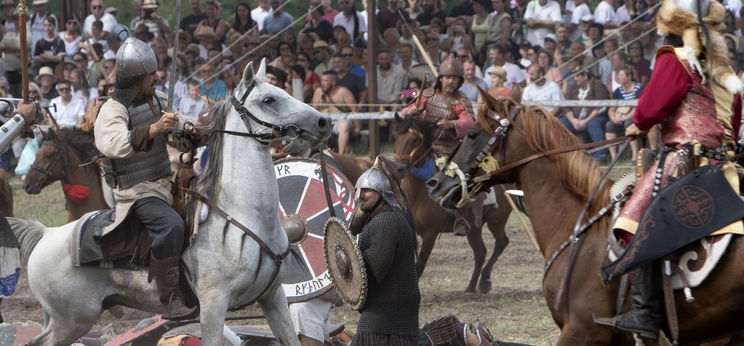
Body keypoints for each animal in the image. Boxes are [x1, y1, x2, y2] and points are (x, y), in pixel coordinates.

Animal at [8, 60, 332, 344]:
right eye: (269, 100)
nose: (323, 121)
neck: (245, 214)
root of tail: (46, 234)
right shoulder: (214, 305)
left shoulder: (273, 299)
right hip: (72, 320)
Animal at [392, 115, 516, 294]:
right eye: (396, 137)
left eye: (415, 139)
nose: (399, 168)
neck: (418, 194)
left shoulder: (430, 234)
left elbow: (420, 265)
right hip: (475, 227)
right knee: (480, 252)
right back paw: (471, 286)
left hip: (496, 220)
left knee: (501, 243)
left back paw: (484, 281)